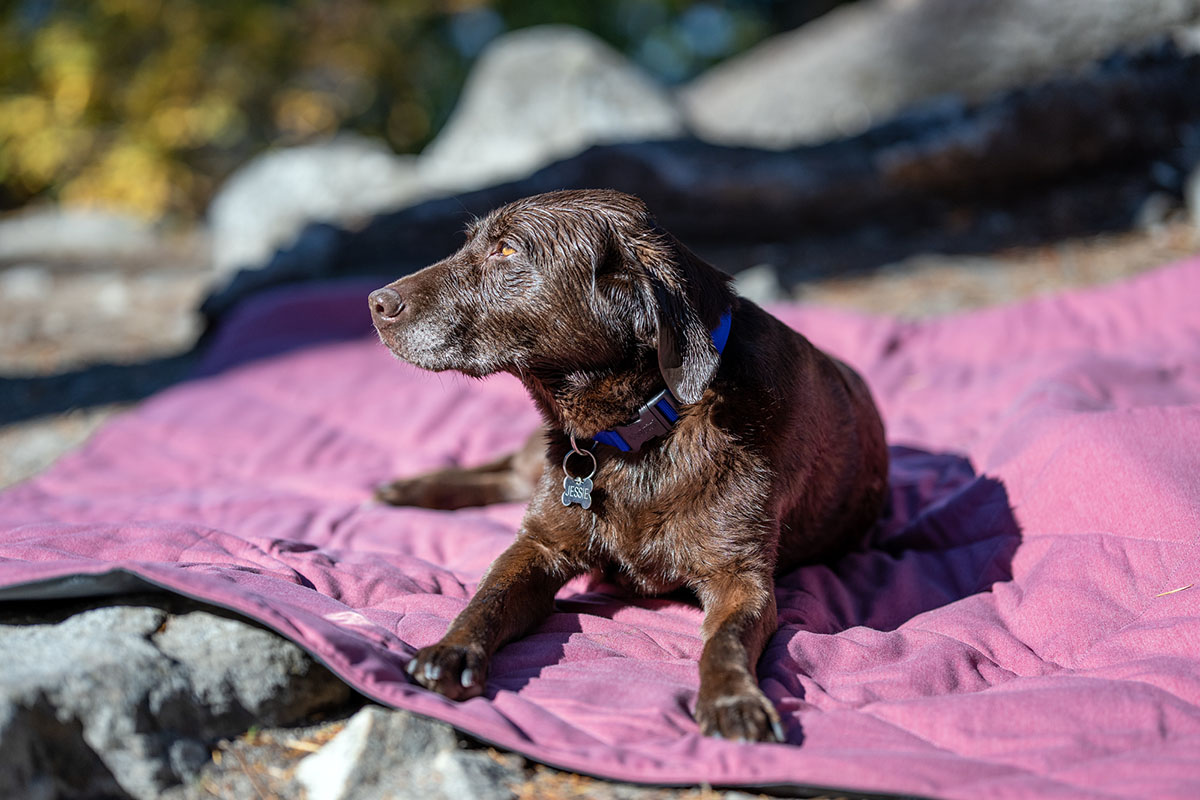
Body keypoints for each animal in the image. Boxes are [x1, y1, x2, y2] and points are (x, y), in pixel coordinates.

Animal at [369, 189, 888, 743]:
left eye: (506, 250)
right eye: (470, 243)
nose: (375, 302)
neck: (641, 431)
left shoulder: (741, 578)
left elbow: (723, 640)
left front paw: (732, 698)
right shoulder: (539, 544)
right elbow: (487, 597)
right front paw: (451, 650)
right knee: (507, 468)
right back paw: (406, 488)